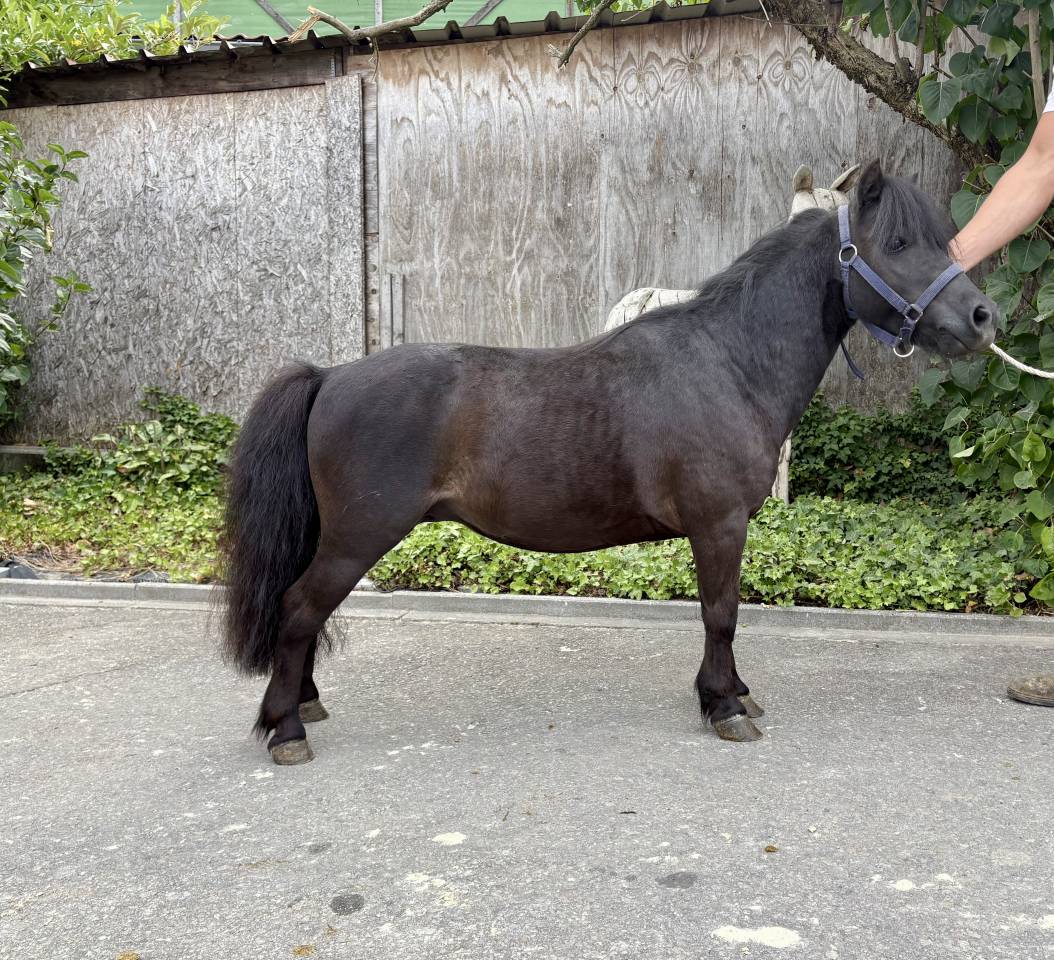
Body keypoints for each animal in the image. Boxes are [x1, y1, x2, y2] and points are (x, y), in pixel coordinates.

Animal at [221, 160, 998, 765]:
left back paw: (302, 706)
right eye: (898, 242)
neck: (730, 362)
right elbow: (721, 614)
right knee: (298, 608)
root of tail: (330, 376)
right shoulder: (719, 526)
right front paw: (724, 706)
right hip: (359, 536)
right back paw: (286, 728)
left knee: (302, 611)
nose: (982, 319)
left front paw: (736, 695)